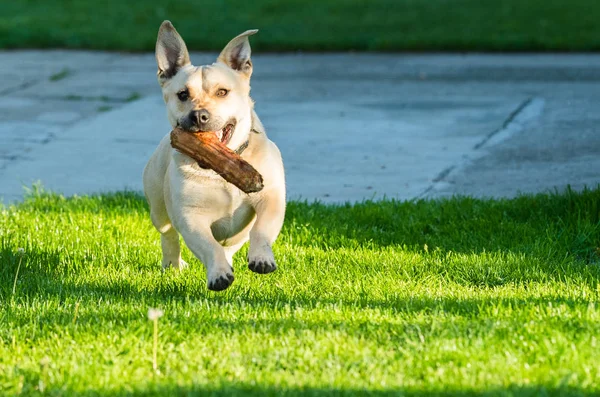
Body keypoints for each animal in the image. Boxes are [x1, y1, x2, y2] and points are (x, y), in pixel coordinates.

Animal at [144, 20, 288, 290]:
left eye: (222, 92)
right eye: (182, 95)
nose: (199, 115)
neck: (220, 170)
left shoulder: (270, 196)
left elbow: (262, 229)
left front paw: (261, 258)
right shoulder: (190, 217)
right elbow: (208, 245)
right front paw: (219, 274)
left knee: (233, 243)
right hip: (158, 208)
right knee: (168, 235)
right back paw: (173, 264)